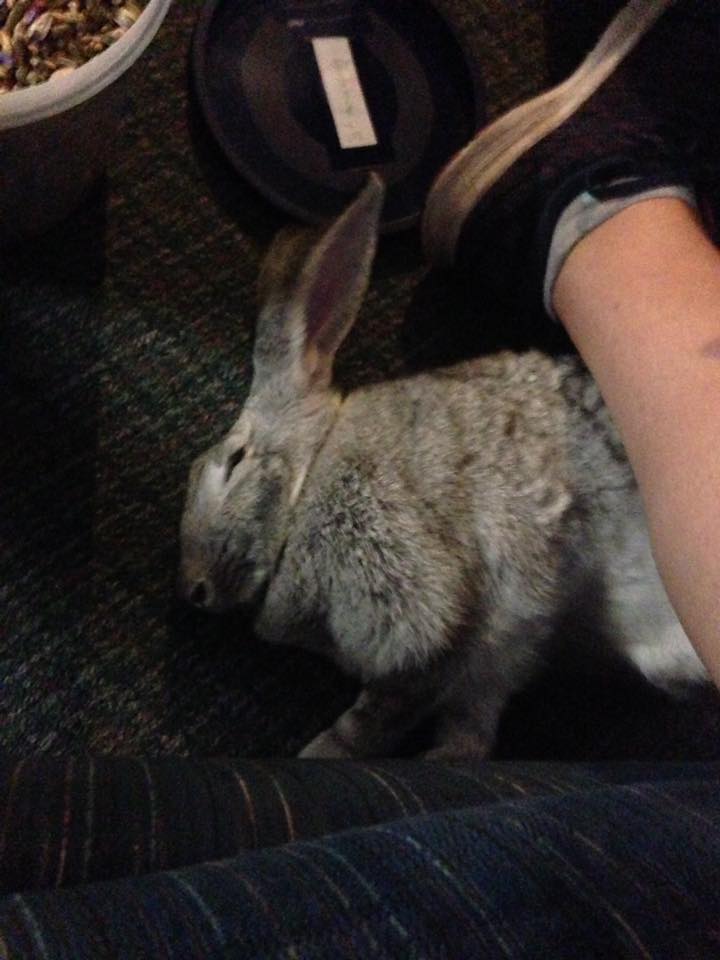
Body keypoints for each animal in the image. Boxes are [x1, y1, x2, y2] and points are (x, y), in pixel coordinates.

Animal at [178, 175, 708, 760]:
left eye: (234, 462)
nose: (193, 589)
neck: (308, 480)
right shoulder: (492, 668)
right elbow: (468, 734)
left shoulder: (416, 598)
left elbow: (382, 712)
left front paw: (320, 755)